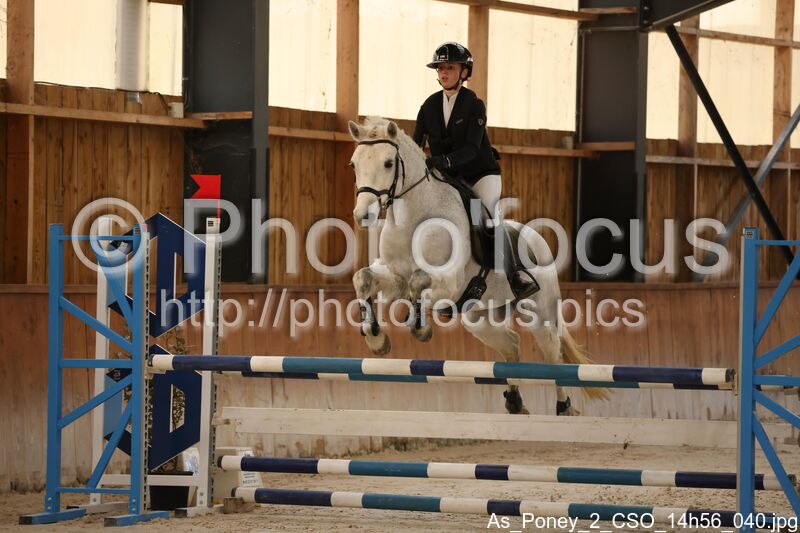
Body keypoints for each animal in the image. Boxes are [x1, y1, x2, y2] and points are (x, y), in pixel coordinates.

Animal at [347, 116, 605, 416]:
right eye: (354, 164)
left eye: (388, 163)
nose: (363, 215)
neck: (414, 218)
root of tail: (537, 240)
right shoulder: (394, 275)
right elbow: (363, 278)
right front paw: (376, 338)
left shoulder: (449, 282)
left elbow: (417, 284)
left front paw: (420, 329)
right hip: (479, 319)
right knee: (512, 346)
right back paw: (514, 402)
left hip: (539, 313)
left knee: (553, 353)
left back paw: (563, 407)